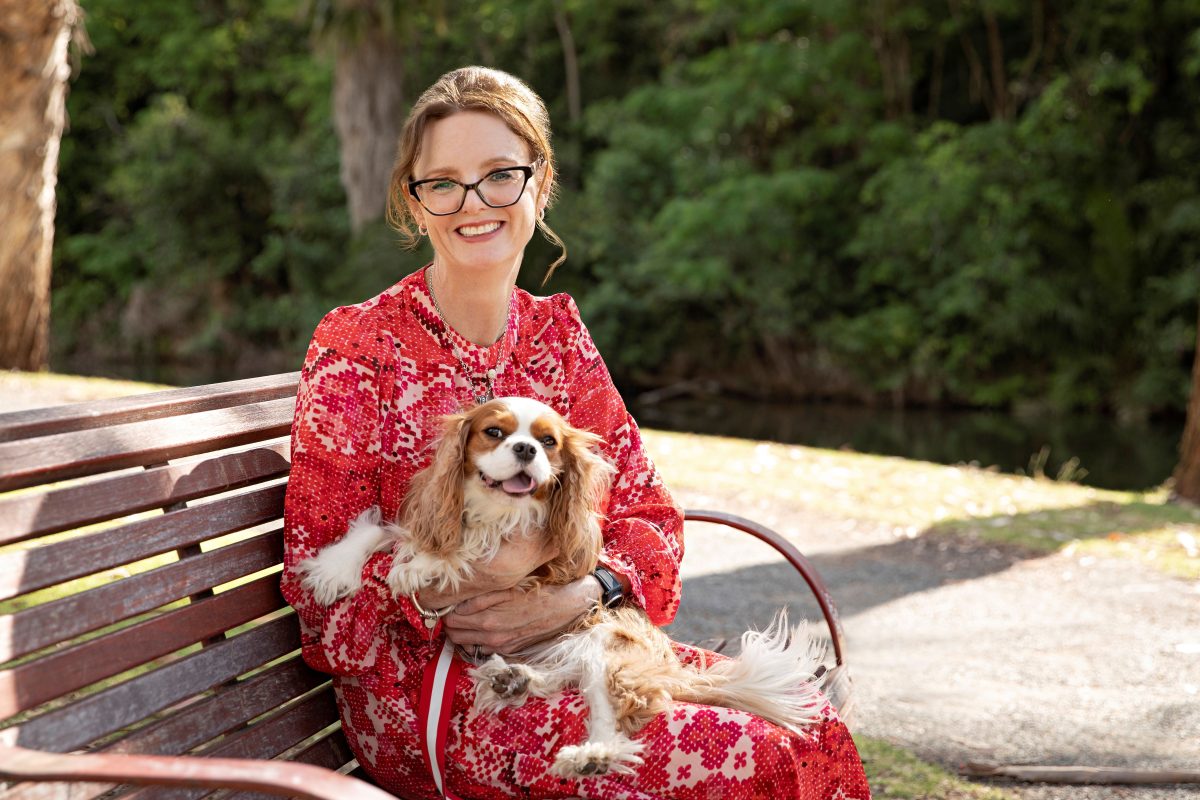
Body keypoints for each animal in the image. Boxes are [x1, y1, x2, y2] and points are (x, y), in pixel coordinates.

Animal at [298, 398, 825, 777]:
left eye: (548, 442)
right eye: (494, 432)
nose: (526, 450)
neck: (495, 513)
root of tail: (668, 668)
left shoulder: (524, 560)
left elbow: (455, 557)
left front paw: (421, 566)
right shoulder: (430, 517)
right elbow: (381, 533)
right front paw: (333, 570)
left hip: (607, 647)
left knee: (614, 708)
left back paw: (590, 753)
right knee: (565, 674)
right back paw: (514, 679)